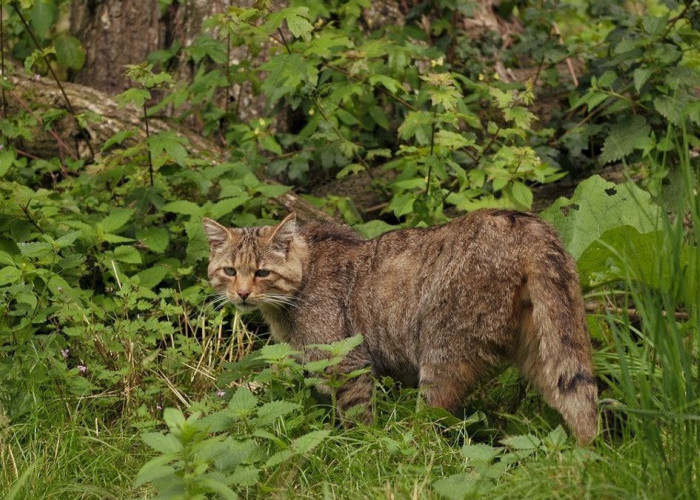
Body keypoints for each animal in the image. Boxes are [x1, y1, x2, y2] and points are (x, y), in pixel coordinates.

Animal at [202, 209, 596, 444]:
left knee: (432, 424)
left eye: (262, 273)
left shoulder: (346, 362)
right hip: (545, 346)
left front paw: (360, 449)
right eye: (229, 271)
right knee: (576, 397)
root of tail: (524, 221)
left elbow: (358, 419)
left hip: (442, 351)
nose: (242, 293)